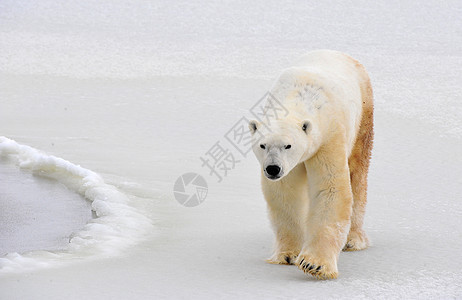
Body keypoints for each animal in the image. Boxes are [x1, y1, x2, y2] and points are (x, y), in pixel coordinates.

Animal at [247, 49, 374, 278]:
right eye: (263, 145)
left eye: (288, 145)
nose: (272, 169)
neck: (298, 98)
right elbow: (285, 192)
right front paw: (288, 254)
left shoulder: (329, 137)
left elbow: (330, 189)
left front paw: (314, 264)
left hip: (364, 114)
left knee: (357, 173)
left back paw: (354, 240)